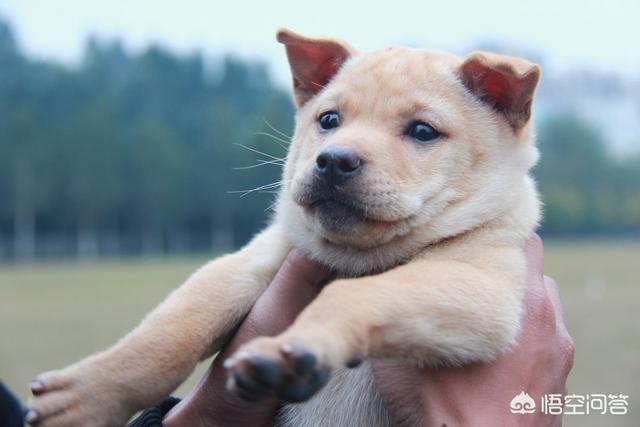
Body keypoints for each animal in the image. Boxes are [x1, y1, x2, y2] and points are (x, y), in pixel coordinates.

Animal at [27, 30, 544, 427]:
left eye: (423, 132)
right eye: (328, 120)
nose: (333, 161)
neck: (357, 256)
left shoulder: (482, 288)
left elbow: (359, 293)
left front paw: (296, 347)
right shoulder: (250, 261)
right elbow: (173, 329)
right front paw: (87, 397)